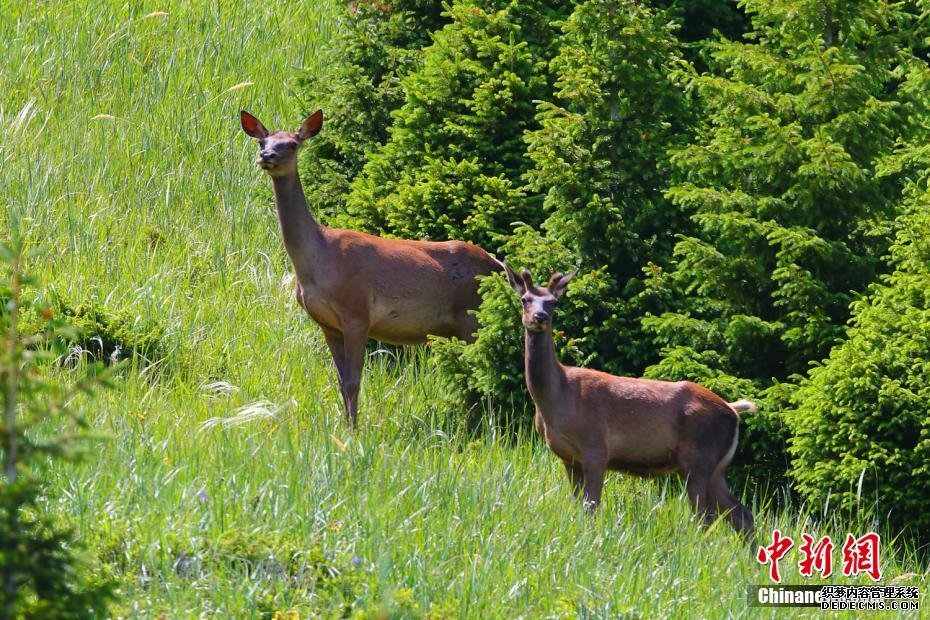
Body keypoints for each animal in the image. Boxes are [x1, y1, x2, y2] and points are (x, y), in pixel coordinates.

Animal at [239, 110, 500, 426]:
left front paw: (354, 430)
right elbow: (341, 382)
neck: (317, 263)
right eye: (262, 141)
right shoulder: (327, 325)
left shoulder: (357, 313)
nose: (267, 156)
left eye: (292, 143)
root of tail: (499, 266)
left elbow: (353, 382)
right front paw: (343, 425)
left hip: (473, 318)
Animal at [500, 264, 752, 536]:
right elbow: (578, 506)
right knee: (741, 514)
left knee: (706, 517)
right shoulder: (569, 457)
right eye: (525, 300)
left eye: (553, 302)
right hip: (716, 466)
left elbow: (591, 507)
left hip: (698, 457)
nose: (540, 317)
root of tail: (733, 411)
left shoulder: (596, 447)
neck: (555, 402)